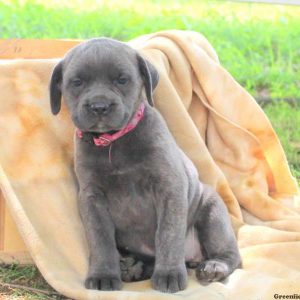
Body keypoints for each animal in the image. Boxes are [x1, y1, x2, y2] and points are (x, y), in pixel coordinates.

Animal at [49, 37, 241, 292]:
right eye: (77, 82)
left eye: (122, 79)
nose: (99, 106)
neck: (113, 141)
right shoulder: (92, 198)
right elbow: (100, 238)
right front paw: (103, 274)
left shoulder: (169, 189)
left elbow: (168, 235)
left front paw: (169, 274)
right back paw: (132, 268)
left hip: (213, 213)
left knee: (230, 254)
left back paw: (214, 266)